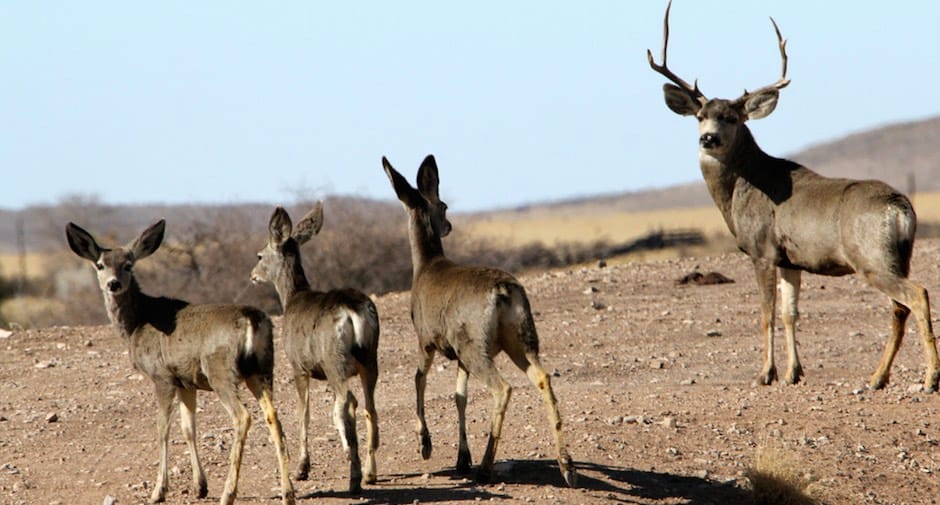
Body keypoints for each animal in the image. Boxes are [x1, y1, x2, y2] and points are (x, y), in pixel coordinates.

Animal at [65, 220, 294, 504]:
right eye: (100, 265)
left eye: (128, 264)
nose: (113, 284)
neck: (137, 322)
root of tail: (252, 319)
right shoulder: (186, 381)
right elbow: (188, 428)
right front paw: (200, 486)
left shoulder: (161, 376)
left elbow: (162, 428)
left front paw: (158, 491)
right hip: (262, 369)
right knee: (273, 415)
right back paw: (287, 492)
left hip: (221, 371)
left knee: (242, 416)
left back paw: (228, 493)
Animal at [253, 201, 382, 492]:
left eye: (259, 255)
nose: (252, 275)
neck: (292, 298)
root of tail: (353, 311)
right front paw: (346, 452)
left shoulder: (298, 366)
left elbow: (304, 413)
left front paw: (302, 468)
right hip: (369, 359)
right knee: (368, 406)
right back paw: (370, 472)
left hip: (335, 361)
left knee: (348, 403)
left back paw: (355, 478)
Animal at [384, 154, 576, 484]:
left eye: (444, 204)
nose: (448, 225)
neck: (425, 267)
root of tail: (504, 292)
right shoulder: (457, 352)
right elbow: (459, 395)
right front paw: (462, 458)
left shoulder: (426, 339)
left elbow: (419, 379)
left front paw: (426, 444)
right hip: (518, 337)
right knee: (543, 377)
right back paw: (566, 466)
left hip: (476, 343)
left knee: (503, 388)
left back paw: (486, 467)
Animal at [648, 0, 940, 392]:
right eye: (700, 115)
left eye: (732, 118)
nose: (707, 138)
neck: (742, 189)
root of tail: (900, 206)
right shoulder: (791, 260)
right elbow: (790, 314)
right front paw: (793, 373)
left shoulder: (762, 251)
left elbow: (766, 314)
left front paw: (765, 374)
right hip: (897, 256)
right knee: (899, 307)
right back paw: (878, 377)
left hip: (872, 258)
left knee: (917, 295)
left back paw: (929, 378)